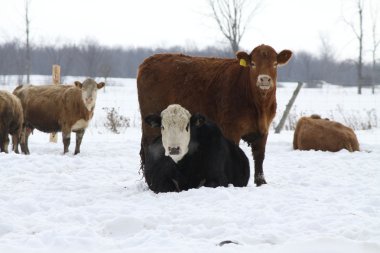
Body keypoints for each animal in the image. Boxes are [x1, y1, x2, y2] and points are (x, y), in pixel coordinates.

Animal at [138, 44, 292, 186]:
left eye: (275, 64)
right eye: (253, 64)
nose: (264, 79)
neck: (258, 105)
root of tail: (149, 60)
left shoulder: (264, 129)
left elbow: (259, 156)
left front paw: (261, 181)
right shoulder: (231, 129)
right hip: (151, 127)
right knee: (147, 148)